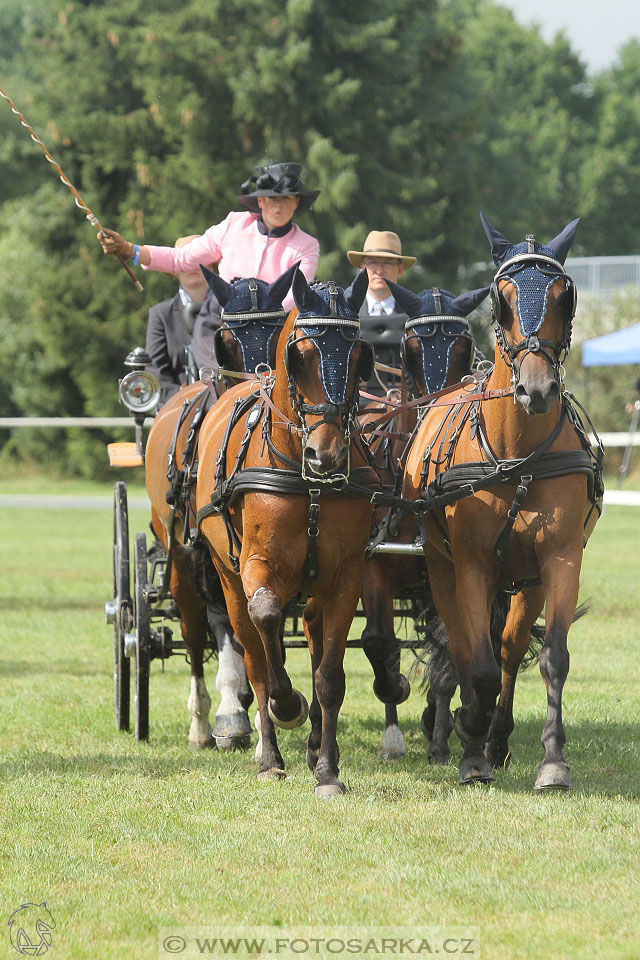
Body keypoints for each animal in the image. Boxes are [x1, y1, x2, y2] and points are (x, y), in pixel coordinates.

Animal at [142, 262, 298, 752]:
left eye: (278, 333)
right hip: (178, 551)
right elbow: (224, 623)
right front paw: (234, 712)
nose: (257, 389)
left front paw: (268, 706)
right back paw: (203, 721)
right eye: (224, 337)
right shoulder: (207, 550)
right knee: (195, 629)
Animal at [192, 268, 378, 796]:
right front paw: (285, 704)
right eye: (302, 355)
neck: (307, 479)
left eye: (358, 356)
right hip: (227, 579)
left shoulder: (344, 577)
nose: (327, 454)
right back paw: (269, 752)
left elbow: (329, 677)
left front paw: (328, 770)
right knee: (253, 655)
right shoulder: (258, 567)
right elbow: (268, 619)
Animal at [358, 282, 488, 760]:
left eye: (463, 348)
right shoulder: (373, 568)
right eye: (411, 348)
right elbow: (379, 642)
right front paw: (395, 689)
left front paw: (440, 734)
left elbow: (449, 651)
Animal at [402, 218, 604, 788]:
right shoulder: (471, 563)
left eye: (563, 295)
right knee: (460, 645)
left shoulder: (558, 557)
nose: (537, 390)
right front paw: (468, 743)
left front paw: (552, 759)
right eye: (503, 298)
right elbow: (477, 662)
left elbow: (551, 657)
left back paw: (496, 736)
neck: (515, 456)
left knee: (510, 647)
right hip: (443, 567)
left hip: (524, 578)